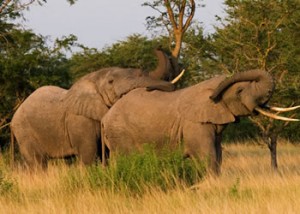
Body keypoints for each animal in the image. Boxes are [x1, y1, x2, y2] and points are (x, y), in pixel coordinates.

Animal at [9, 48, 178, 169]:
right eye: (110, 82)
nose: (156, 47)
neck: (92, 78)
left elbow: (105, 154)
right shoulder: (79, 120)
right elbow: (89, 153)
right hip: (23, 131)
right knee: (37, 163)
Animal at [101, 69, 298, 175]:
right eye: (240, 91)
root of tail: (105, 118)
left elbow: (218, 156)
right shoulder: (194, 125)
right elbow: (207, 156)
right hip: (120, 133)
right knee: (127, 160)